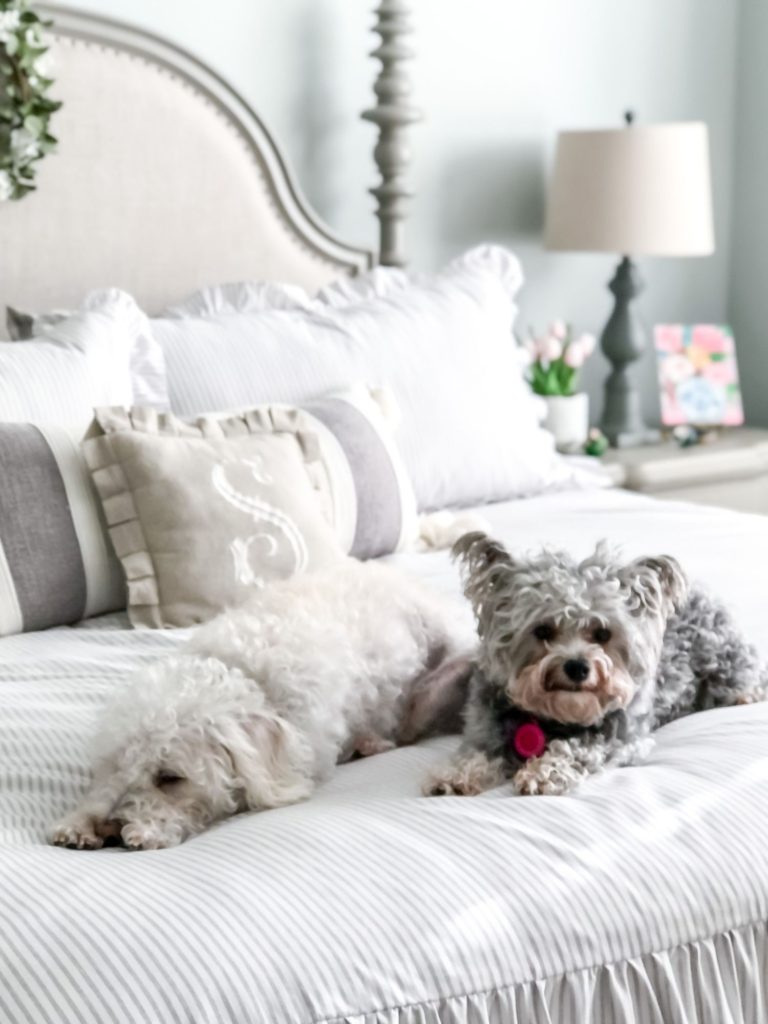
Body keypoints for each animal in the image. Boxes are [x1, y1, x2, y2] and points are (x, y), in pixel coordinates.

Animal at [428, 536, 765, 798]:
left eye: (603, 633)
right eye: (542, 631)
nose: (577, 667)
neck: (555, 718)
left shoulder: (622, 739)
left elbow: (577, 749)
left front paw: (543, 772)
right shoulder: (484, 728)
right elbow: (477, 752)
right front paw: (458, 775)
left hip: (722, 656)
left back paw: (746, 695)